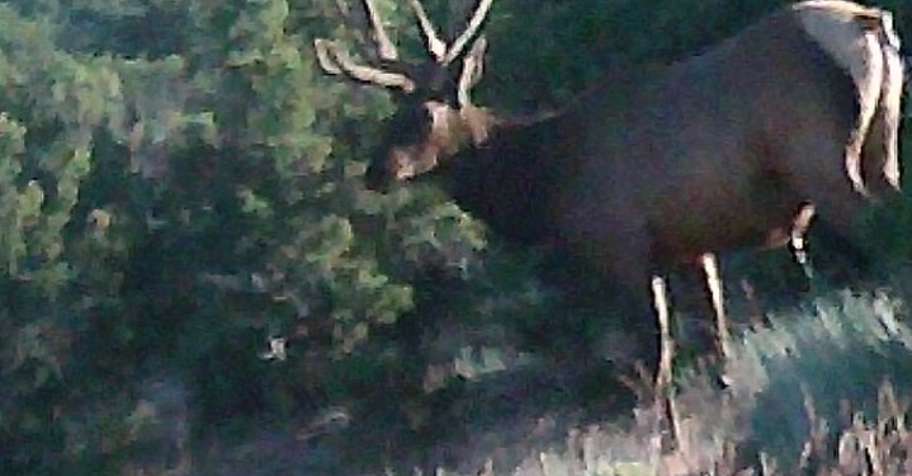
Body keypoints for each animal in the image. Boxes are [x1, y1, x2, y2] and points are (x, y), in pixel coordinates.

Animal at [316, 0, 904, 386]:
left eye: (424, 114)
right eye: (390, 114)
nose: (376, 171)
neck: (549, 182)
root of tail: (867, 22)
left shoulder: (622, 247)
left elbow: (657, 357)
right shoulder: (692, 245)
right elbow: (718, 339)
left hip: (821, 159)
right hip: (883, 146)